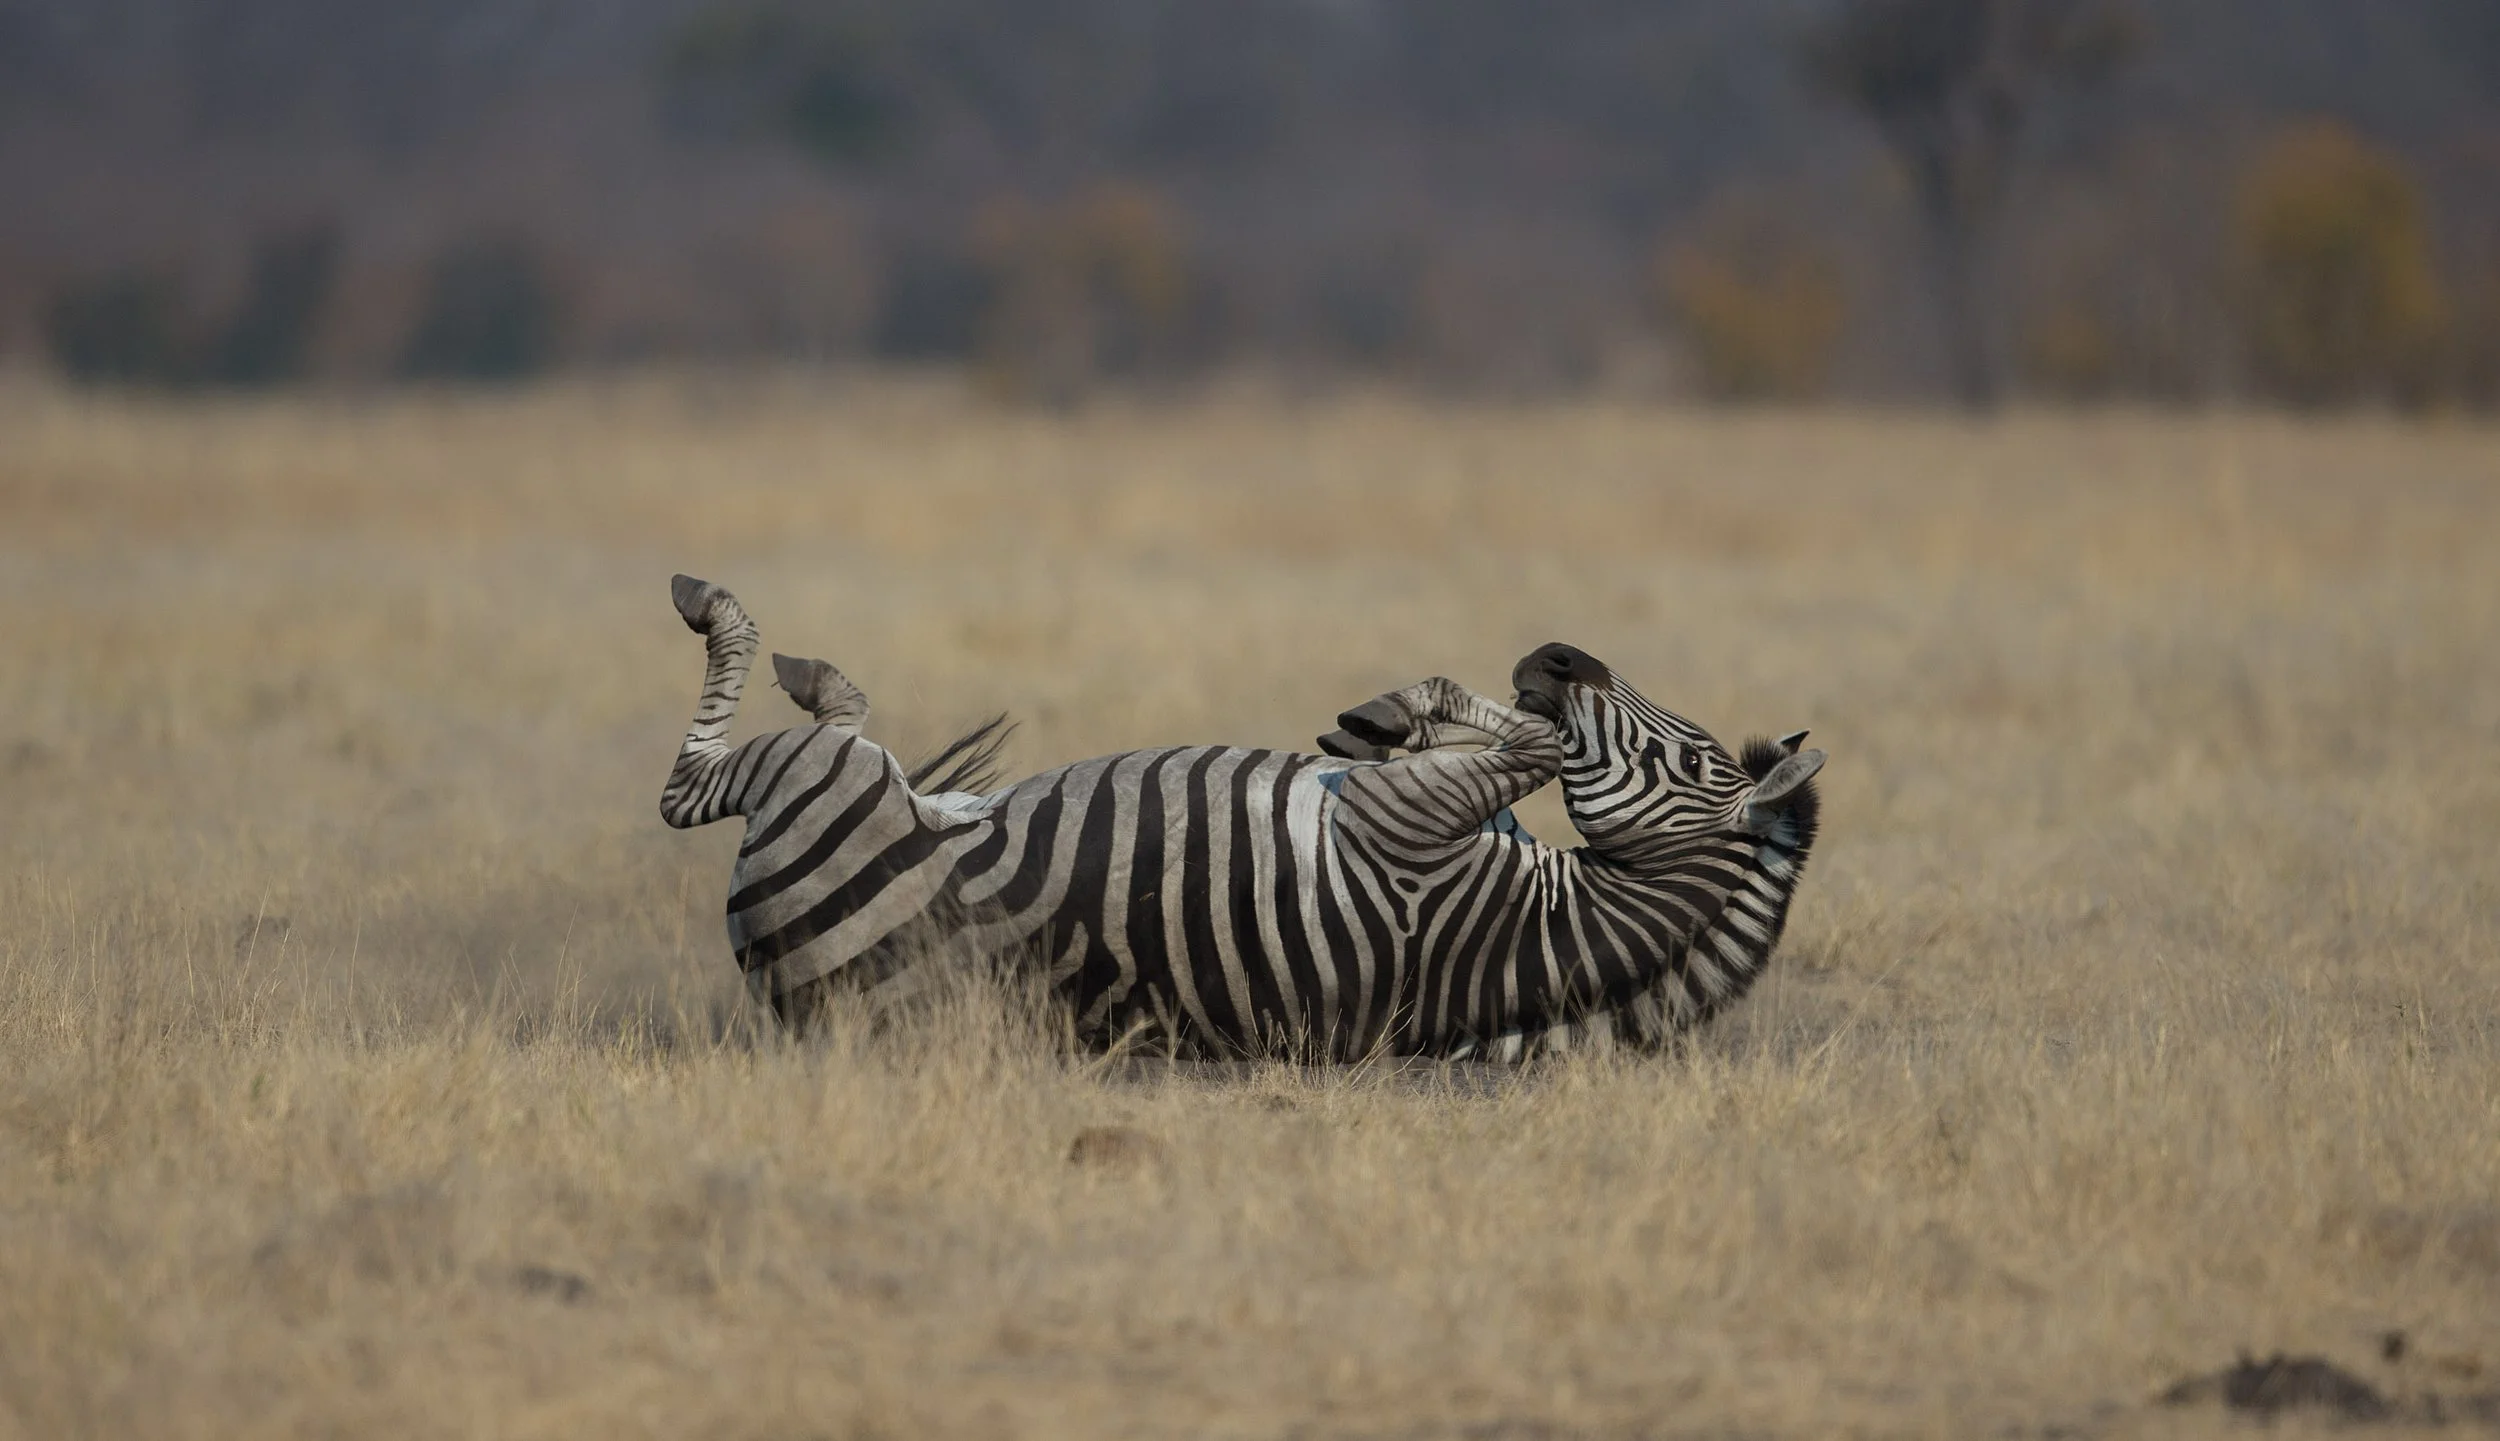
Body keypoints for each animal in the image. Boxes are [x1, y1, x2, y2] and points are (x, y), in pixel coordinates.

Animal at [659, 574, 1824, 1058]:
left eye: (1687, 759)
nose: (1558, 656)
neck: (1540, 928)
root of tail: (794, 1000)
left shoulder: (1403, 829)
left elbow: (1529, 746)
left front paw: (1401, 712)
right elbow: (1489, 727)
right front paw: (1384, 720)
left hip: (814, 787)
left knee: (697, 784)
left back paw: (739, 625)